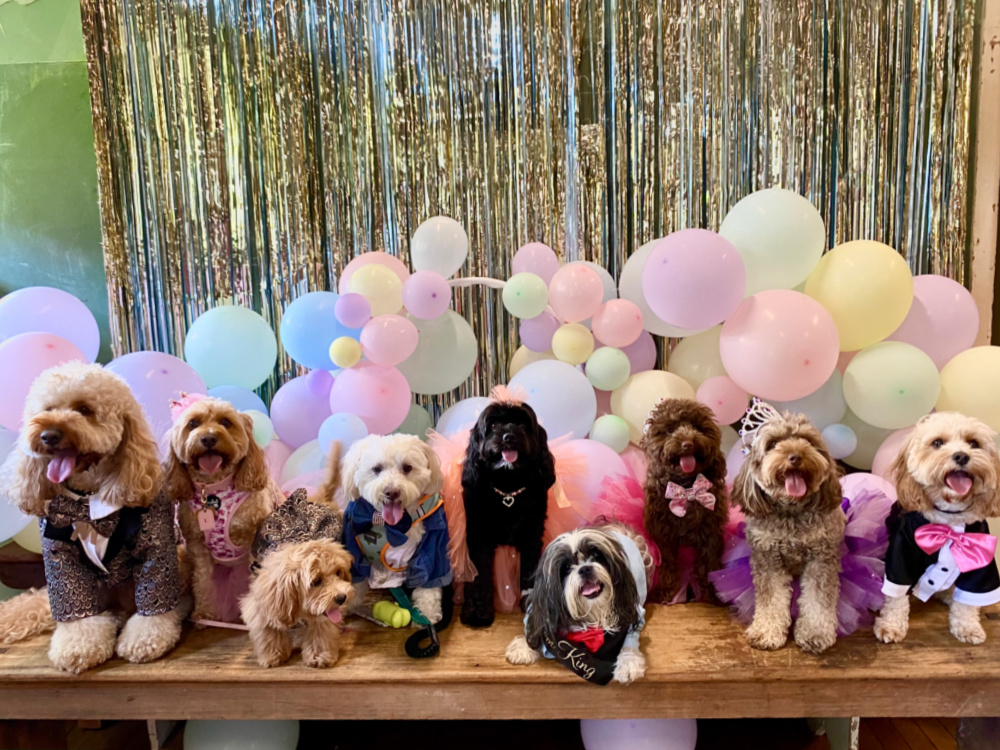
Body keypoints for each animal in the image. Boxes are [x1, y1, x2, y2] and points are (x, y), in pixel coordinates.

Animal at [458, 390, 556, 632]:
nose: (508, 437)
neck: (507, 488)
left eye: (522, 424)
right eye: (493, 426)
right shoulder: (478, 536)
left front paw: (532, 603)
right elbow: (479, 574)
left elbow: (530, 569)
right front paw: (478, 611)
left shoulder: (532, 534)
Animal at [504, 524, 652, 688]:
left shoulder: (634, 610)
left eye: (596, 555)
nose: (585, 569)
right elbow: (535, 623)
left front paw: (628, 661)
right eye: (567, 567)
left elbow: (630, 633)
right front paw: (524, 644)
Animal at [640, 400, 728, 604]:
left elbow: (708, 563)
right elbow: (667, 562)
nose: (688, 444)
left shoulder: (710, 531)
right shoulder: (663, 532)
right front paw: (664, 590)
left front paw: (713, 592)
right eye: (670, 429)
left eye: (698, 428)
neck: (686, 487)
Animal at [736, 402, 844, 656]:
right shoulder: (767, 558)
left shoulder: (821, 558)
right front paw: (766, 632)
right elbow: (771, 599)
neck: (791, 512)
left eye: (807, 440)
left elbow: (817, 599)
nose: (795, 456)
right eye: (773, 444)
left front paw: (815, 633)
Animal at [876, 412, 1000, 648]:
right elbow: (896, 597)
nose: (961, 456)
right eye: (937, 443)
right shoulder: (901, 552)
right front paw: (891, 625)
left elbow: (969, 601)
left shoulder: (981, 556)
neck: (949, 521)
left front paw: (968, 627)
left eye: (973, 443)